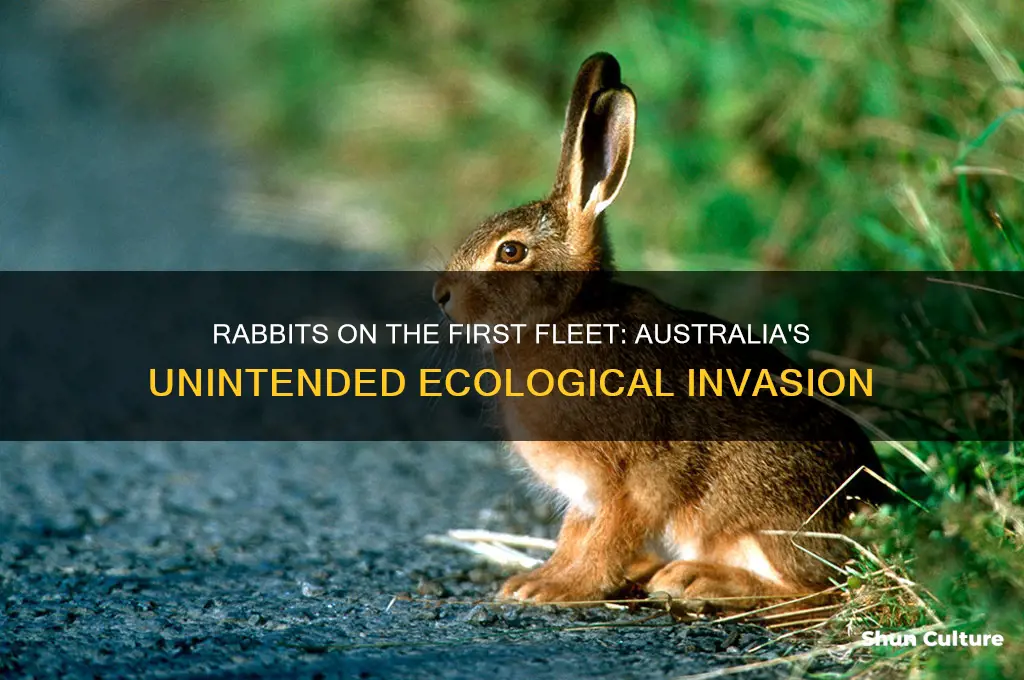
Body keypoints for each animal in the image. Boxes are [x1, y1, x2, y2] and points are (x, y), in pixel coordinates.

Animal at [431, 53, 883, 609]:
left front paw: (560, 588)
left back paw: (692, 579)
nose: (440, 295)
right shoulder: (585, 495)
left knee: (811, 590)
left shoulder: (636, 481)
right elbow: (572, 536)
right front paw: (536, 579)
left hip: (755, 520)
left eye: (511, 252)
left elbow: (606, 541)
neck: (565, 318)